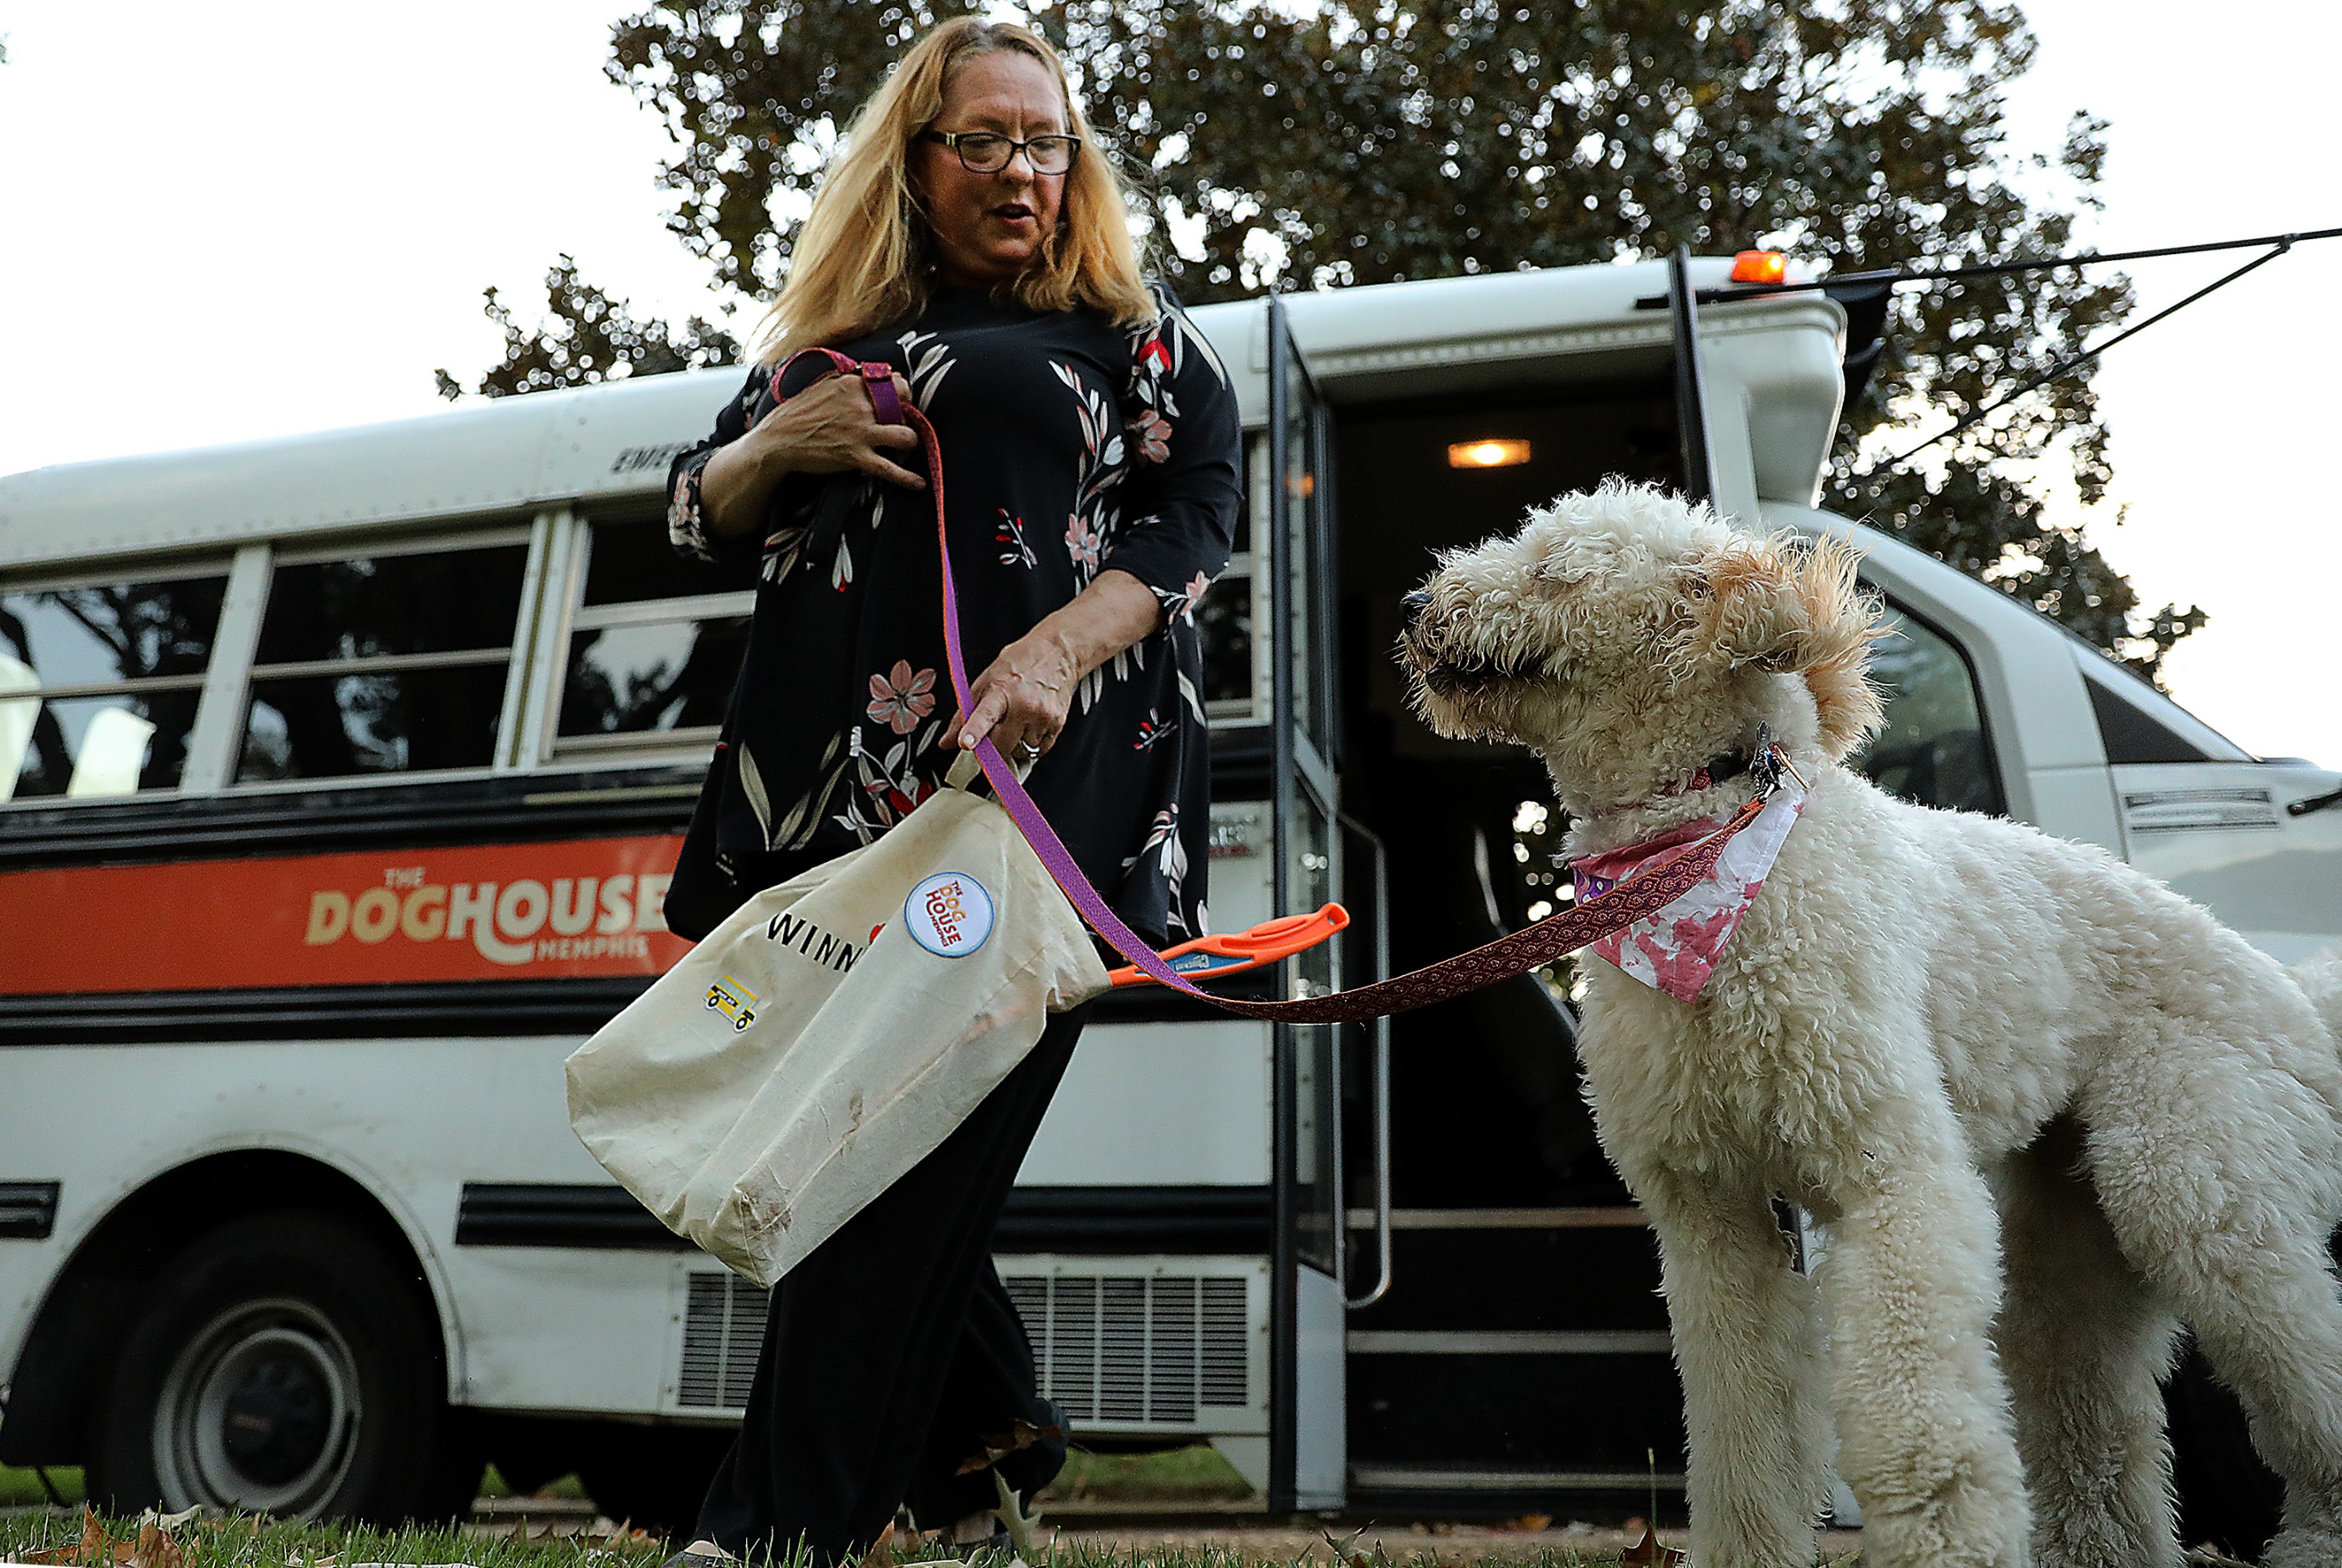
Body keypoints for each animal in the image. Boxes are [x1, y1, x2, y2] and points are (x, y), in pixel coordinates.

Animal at [1395, 484, 2342, 1563]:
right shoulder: (1710, 1213)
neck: (1701, 847)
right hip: (2072, 1235)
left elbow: (1912, 1416)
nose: (1413, 604)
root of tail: (2295, 1001)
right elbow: (1741, 1428)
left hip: (2196, 1177)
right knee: (2092, 1417)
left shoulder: (1890, 1178)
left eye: (1553, 571)